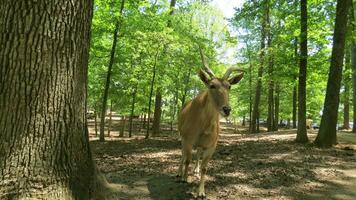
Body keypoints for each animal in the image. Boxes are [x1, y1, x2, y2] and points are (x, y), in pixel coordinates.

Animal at [178, 47, 245, 198]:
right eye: (212, 85)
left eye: (229, 86)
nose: (227, 109)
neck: (204, 127)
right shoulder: (188, 139)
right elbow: (187, 159)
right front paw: (184, 178)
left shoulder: (211, 145)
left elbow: (205, 168)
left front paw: (201, 192)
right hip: (181, 136)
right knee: (183, 154)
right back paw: (179, 173)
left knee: (197, 154)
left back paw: (195, 171)